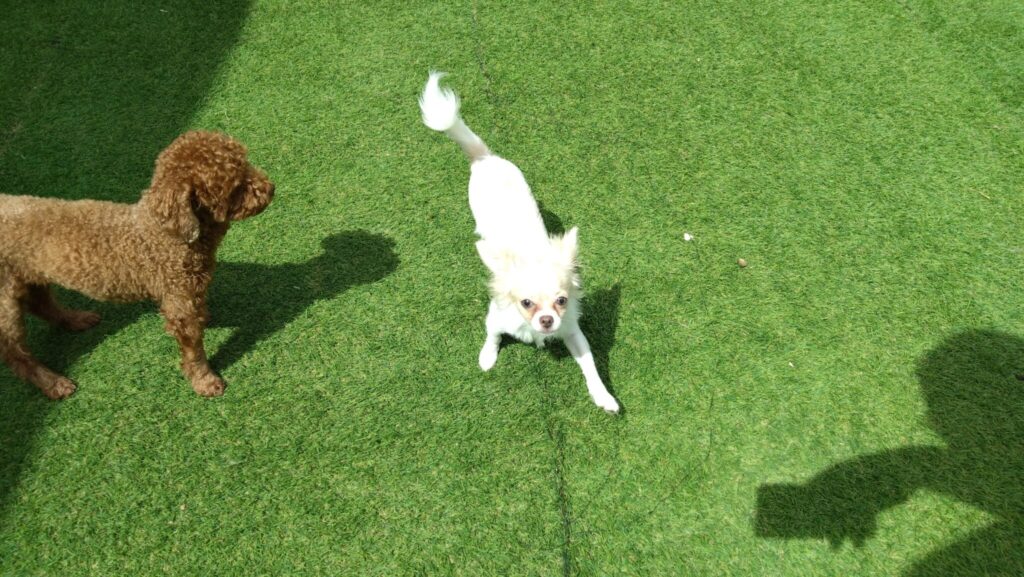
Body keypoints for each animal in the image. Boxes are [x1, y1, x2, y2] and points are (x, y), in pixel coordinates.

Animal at [0, 131, 274, 399]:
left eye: (246, 163)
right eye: (235, 185)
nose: (270, 188)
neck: (165, 235)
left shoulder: (190, 287)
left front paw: (205, 317)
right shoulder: (178, 303)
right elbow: (193, 348)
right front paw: (204, 381)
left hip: (29, 274)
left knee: (41, 304)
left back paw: (75, 319)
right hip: (6, 304)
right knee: (14, 353)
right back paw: (52, 382)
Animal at [419, 72, 620, 413]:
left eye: (561, 301)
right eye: (526, 303)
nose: (547, 319)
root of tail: (484, 157)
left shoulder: (572, 330)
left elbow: (590, 363)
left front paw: (603, 395)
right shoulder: (496, 317)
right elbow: (493, 336)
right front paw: (487, 358)